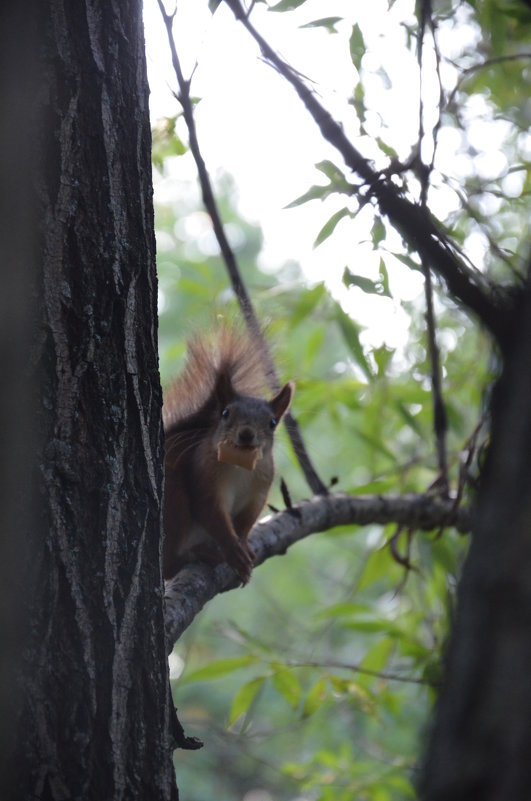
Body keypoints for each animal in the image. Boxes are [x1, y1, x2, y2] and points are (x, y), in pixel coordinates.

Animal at [163, 324, 296, 580]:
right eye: (225, 413)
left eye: (272, 422)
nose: (246, 434)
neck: (239, 465)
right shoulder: (204, 476)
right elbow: (211, 513)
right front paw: (233, 550)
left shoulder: (260, 486)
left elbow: (247, 519)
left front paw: (242, 545)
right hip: (174, 503)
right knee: (169, 565)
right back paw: (197, 554)